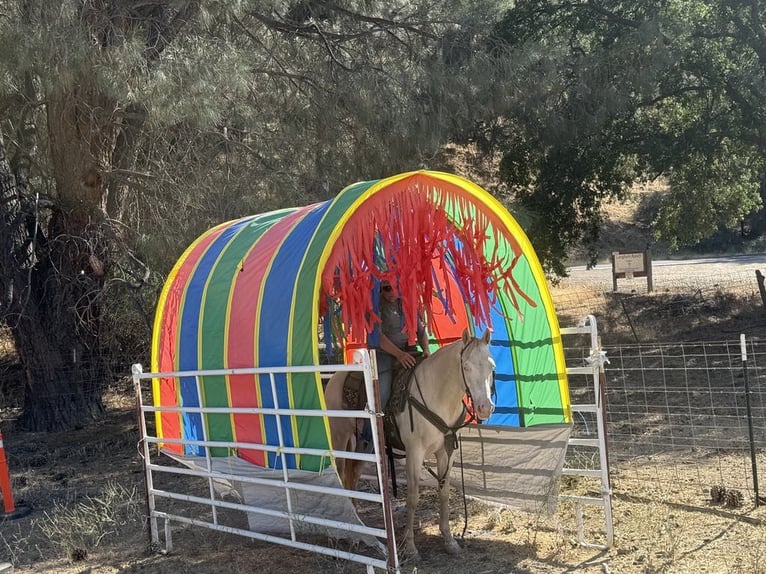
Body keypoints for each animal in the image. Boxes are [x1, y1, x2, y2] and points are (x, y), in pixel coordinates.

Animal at [325, 328, 496, 560]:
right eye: (467, 366)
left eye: (492, 366)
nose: (485, 407)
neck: (437, 395)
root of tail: (335, 377)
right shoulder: (415, 453)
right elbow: (412, 498)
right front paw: (411, 547)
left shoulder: (446, 452)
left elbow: (444, 492)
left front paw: (449, 541)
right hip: (340, 437)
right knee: (342, 474)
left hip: (364, 444)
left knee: (354, 475)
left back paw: (358, 527)